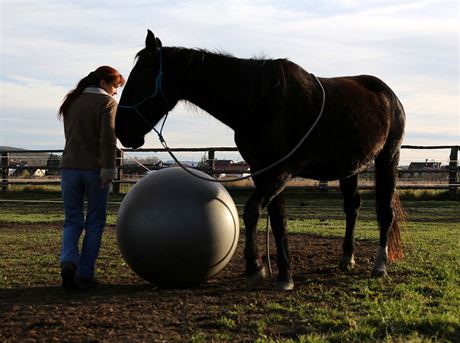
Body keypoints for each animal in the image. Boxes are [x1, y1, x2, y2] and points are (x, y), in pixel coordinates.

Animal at [116, 30, 406, 292]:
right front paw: (284, 275)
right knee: (352, 207)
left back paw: (380, 265)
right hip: (349, 167)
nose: (121, 131)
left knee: (385, 210)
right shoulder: (261, 170)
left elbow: (252, 211)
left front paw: (255, 268)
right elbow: (278, 220)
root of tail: (389, 96)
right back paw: (347, 258)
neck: (258, 101)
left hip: (387, 158)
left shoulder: (281, 170)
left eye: (140, 79)